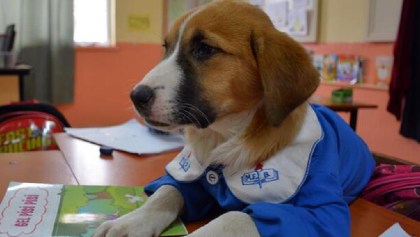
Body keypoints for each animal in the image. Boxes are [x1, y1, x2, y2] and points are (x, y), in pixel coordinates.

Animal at [95, 0, 374, 237]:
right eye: (166, 48)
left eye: (205, 49)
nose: (136, 97)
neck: (225, 134)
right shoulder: (190, 180)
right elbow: (164, 193)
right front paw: (128, 222)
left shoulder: (320, 211)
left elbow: (235, 217)